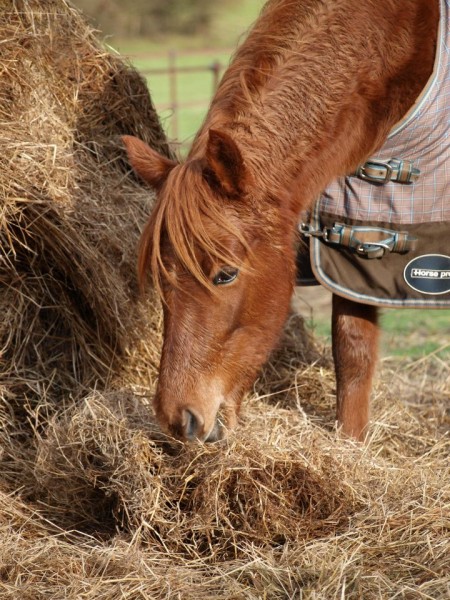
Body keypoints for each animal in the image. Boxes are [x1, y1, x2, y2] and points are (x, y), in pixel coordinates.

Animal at [123, 0, 440, 440]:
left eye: (225, 274)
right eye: (160, 275)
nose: (179, 419)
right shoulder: (353, 246)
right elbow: (352, 350)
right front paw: (351, 443)